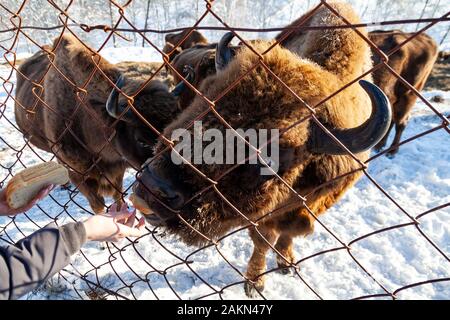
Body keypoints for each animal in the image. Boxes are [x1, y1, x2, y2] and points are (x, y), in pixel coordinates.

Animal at [15, 34, 185, 212]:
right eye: (141, 141)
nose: (169, 188)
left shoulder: (117, 169)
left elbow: (118, 197)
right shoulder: (80, 176)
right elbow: (98, 206)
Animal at [133, 3, 390, 298]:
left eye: (270, 156)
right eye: (206, 99)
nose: (153, 187)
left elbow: (288, 233)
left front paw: (286, 263)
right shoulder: (262, 218)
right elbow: (263, 240)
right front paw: (255, 282)